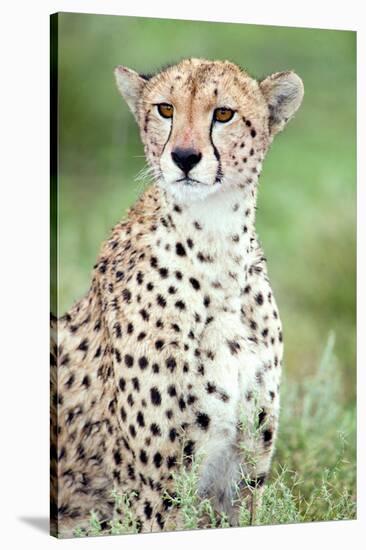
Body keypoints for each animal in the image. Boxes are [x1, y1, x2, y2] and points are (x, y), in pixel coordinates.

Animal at [51, 58, 304, 536]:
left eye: (223, 114)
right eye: (165, 109)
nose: (184, 157)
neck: (216, 250)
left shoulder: (245, 472)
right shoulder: (157, 493)